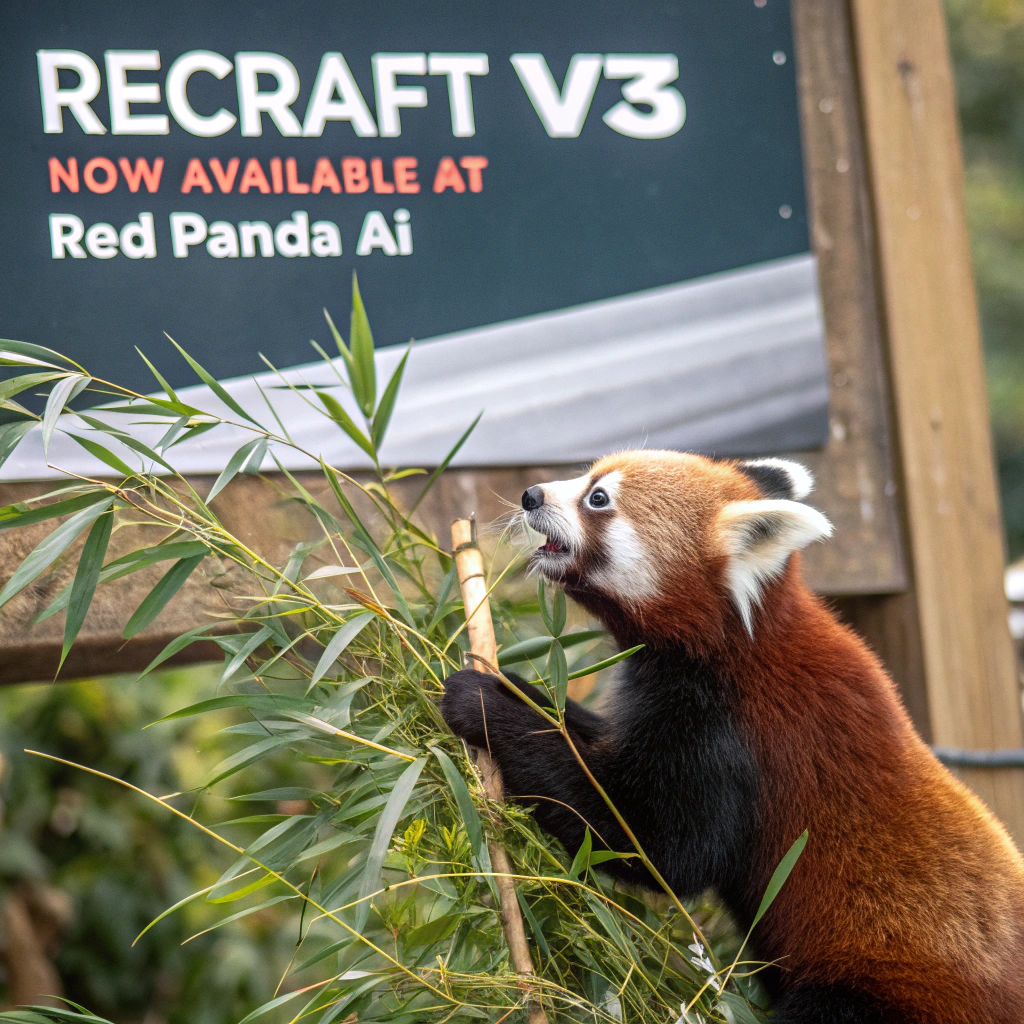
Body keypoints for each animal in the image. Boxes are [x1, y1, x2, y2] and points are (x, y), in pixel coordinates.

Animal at [441, 450, 1024, 1024]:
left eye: (598, 498)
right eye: (588, 476)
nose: (530, 495)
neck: (739, 638)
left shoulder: (733, 732)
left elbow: (657, 845)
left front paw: (479, 701)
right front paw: (511, 685)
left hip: (881, 989)